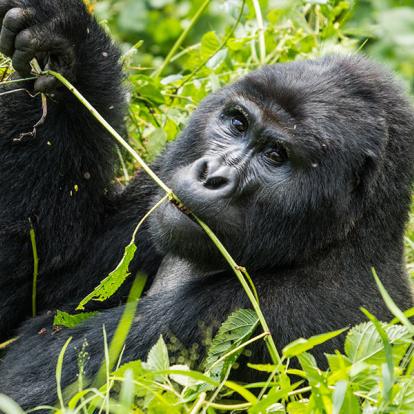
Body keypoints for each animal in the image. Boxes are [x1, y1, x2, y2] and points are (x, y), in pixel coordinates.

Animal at [0, 0, 414, 410]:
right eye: (237, 123)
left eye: (275, 155)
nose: (212, 175)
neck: (343, 239)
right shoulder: (155, 189)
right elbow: (38, 271)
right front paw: (69, 48)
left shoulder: (259, 316)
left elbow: (24, 386)